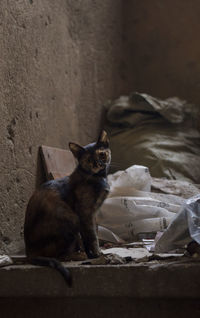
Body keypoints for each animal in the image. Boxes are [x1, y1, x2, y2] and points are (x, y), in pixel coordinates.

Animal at [23, 129, 111, 286]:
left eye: (101, 154)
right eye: (89, 160)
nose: (98, 163)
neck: (98, 177)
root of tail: (29, 252)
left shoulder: (92, 214)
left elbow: (90, 234)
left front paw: (94, 253)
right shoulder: (85, 213)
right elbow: (92, 235)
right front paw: (96, 254)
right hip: (71, 218)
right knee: (58, 256)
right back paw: (79, 256)